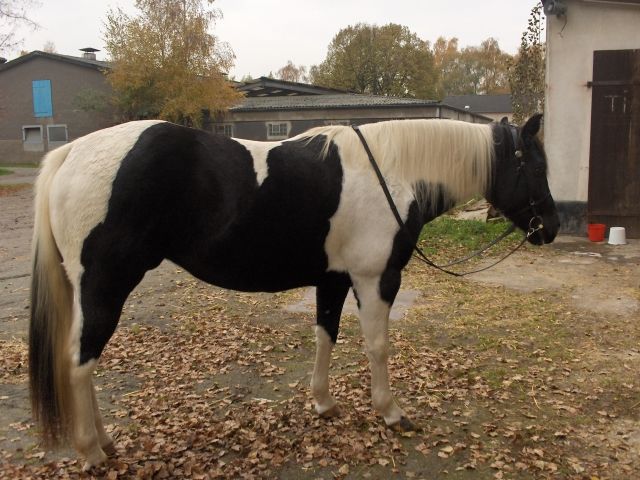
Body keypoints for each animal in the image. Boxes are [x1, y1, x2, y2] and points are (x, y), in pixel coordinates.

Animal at [29, 114, 559, 469]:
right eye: (535, 168)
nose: (551, 228)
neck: (394, 172)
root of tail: (71, 153)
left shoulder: (334, 279)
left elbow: (326, 335)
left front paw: (323, 403)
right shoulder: (376, 279)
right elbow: (377, 346)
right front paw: (391, 413)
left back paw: (105, 442)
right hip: (106, 284)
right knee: (81, 361)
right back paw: (92, 452)